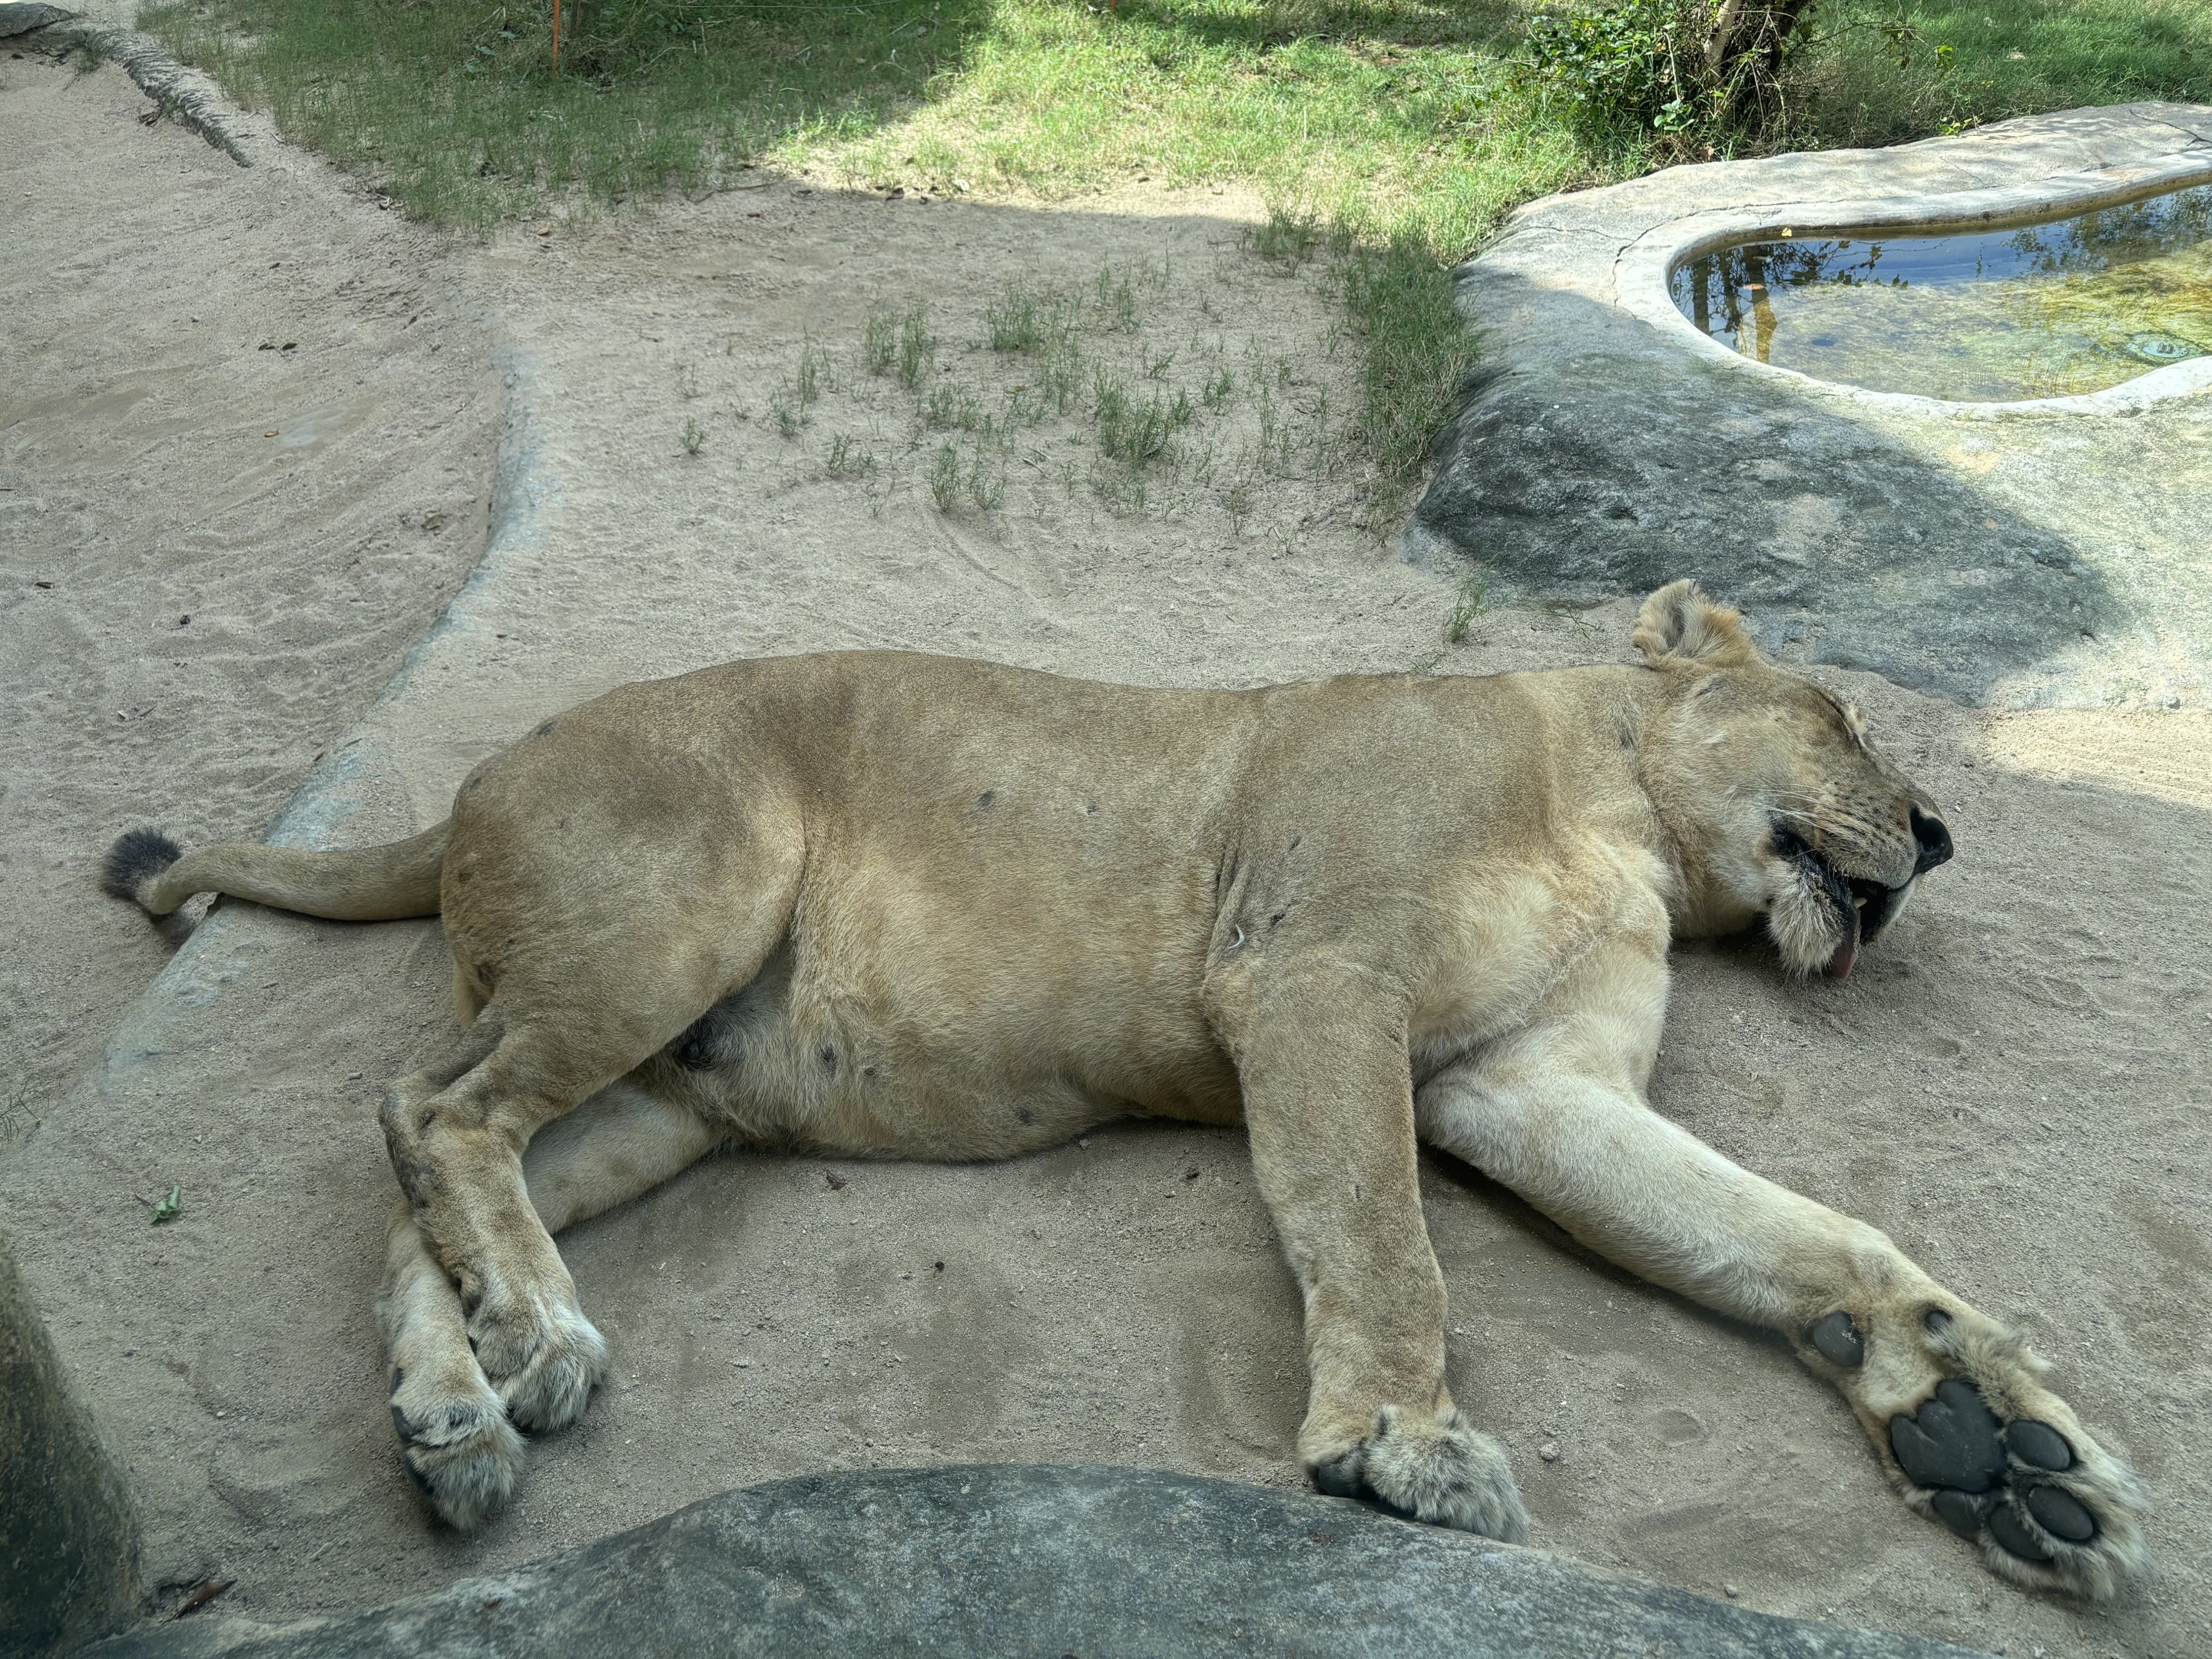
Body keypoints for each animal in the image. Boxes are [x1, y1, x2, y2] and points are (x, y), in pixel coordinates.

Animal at [101, 581, 2146, 1598]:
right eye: (1850, 721)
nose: (1945, 836)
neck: (1627, 820)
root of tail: (466, 782)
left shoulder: (1531, 1087)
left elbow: (1808, 1237)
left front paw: (1995, 1440)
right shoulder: (1311, 977)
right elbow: (1383, 1239)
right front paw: (1400, 1451)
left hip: (675, 1097)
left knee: (424, 1188)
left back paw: (459, 1410)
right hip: (683, 903)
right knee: (428, 1109)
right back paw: (536, 1342)